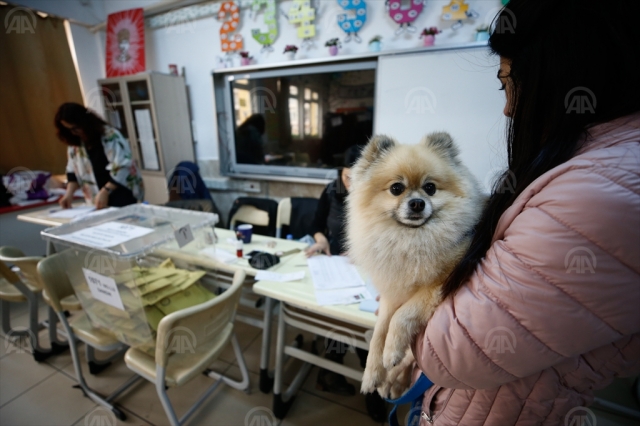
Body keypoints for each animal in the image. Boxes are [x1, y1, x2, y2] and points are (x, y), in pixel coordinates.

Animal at [348, 131, 482, 398]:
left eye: (430, 188)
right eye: (396, 188)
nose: (418, 203)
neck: (411, 238)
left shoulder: (438, 286)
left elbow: (402, 316)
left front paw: (392, 352)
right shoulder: (392, 293)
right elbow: (379, 332)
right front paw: (372, 373)